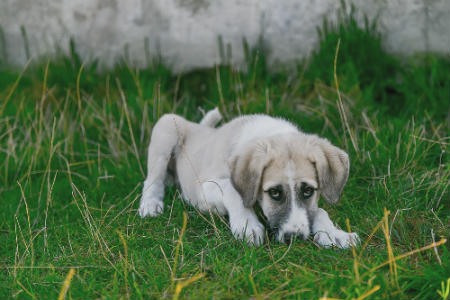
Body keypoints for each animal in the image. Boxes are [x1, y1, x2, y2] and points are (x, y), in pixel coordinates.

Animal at [139, 108, 360, 248]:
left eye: (308, 191)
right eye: (274, 193)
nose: (295, 238)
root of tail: (199, 127)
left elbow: (320, 210)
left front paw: (334, 234)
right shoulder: (204, 187)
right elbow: (232, 190)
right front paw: (247, 225)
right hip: (167, 126)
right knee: (152, 180)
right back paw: (150, 204)